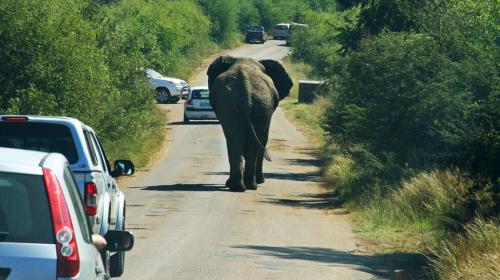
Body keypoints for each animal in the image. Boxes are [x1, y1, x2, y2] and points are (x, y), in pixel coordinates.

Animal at [206, 55, 292, 191]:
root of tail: (245, 89)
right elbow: (264, 139)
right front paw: (261, 181)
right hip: (258, 104)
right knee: (249, 143)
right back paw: (250, 185)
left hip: (235, 103)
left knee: (235, 140)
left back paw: (239, 187)